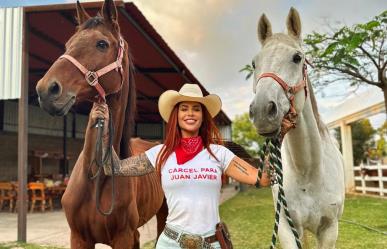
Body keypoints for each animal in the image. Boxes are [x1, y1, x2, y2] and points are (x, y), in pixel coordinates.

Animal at [34, 0, 165, 248]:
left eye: (102, 44)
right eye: (67, 44)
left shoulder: (122, 238)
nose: (46, 90)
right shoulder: (78, 237)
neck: (95, 179)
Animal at [250, 7, 348, 249]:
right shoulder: (286, 228)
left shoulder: (330, 229)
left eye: (297, 58)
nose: (262, 111)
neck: (309, 172)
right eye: (254, 63)